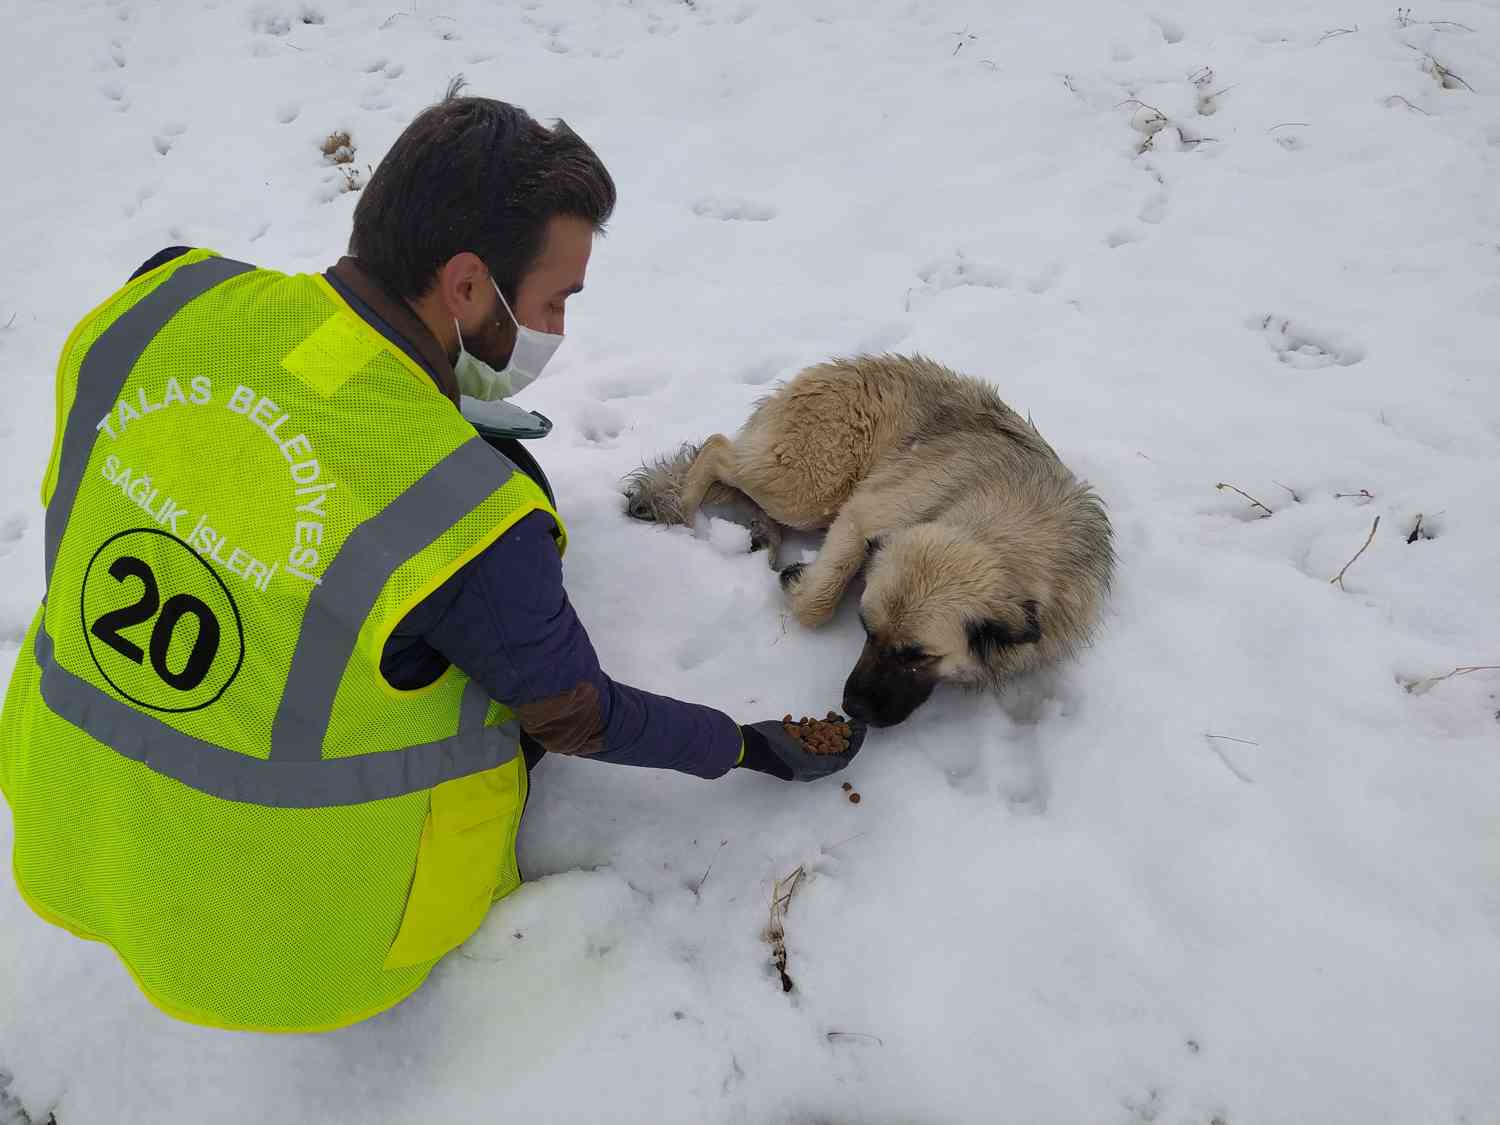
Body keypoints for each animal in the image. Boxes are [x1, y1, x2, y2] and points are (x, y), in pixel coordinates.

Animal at [624, 352, 1116, 732]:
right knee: (717, 448)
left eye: (917, 655)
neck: (995, 530)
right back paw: (687, 510)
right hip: (812, 488)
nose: (852, 708)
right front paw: (801, 584)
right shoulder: (862, 515)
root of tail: (844, 365)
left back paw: (763, 536)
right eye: (865, 630)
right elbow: (819, 604)